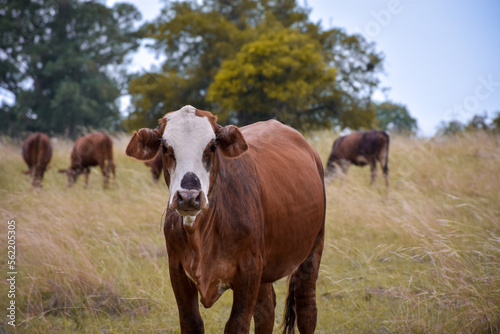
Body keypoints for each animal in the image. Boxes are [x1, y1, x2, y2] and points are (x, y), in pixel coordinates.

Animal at [127, 105, 326, 332]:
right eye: (166, 148)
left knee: (306, 308)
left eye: (212, 146)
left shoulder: (249, 271)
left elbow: (236, 324)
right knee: (266, 311)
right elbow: (191, 321)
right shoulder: (177, 271)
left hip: (313, 249)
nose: (189, 196)